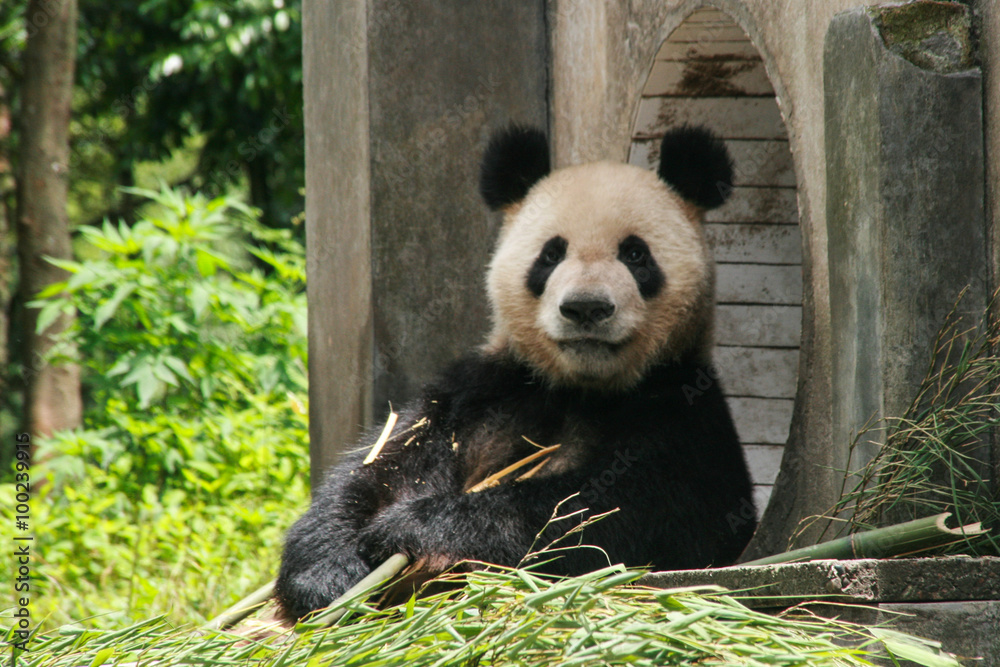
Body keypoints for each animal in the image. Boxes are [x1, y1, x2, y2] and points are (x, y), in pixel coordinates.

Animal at [275, 124, 756, 620]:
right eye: (551, 255)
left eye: (636, 255)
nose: (586, 307)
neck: (579, 387)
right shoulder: (486, 390)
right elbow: (382, 463)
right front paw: (326, 572)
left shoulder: (681, 410)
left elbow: (608, 511)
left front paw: (414, 527)